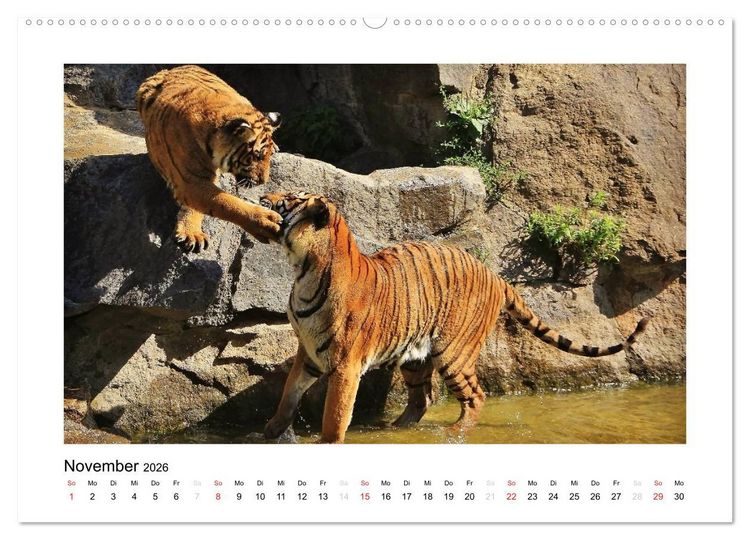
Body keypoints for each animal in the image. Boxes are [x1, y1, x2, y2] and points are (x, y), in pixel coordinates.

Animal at [136, 65, 283, 252]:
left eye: (267, 157)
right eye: (256, 156)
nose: (263, 181)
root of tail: (173, 68)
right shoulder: (190, 181)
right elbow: (226, 202)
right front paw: (266, 221)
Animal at [260, 192, 650, 444]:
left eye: (289, 198)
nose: (263, 195)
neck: (304, 270)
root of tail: (496, 276)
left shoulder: (346, 364)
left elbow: (335, 416)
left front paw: (324, 443)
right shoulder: (309, 352)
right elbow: (289, 394)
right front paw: (270, 430)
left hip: (454, 352)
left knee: (475, 396)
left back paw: (454, 433)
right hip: (414, 357)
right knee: (421, 400)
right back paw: (393, 430)